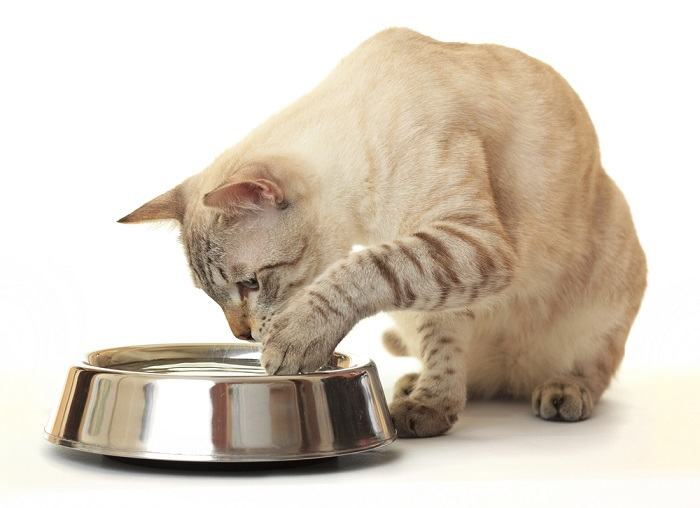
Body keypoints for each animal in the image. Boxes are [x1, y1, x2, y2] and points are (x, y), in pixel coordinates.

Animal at [119, 27, 644, 438]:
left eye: (250, 284)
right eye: (214, 297)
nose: (243, 335)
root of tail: (508, 379)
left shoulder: (467, 241)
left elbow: (362, 270)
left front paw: (293, 339)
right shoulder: (444, 280)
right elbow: (442, 345)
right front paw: (432, 407)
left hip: (606, 301)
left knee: (593, 370)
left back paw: (563, 391)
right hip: (414, 314)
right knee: (462, 368)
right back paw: (416, 387)